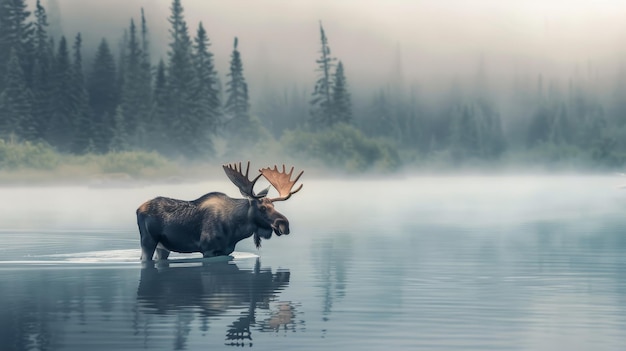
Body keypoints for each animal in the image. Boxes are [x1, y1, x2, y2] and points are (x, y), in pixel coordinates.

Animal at [136, 162, 302, 262]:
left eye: (274, 206)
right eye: (262, 208)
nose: (285, 225)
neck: (235, 231)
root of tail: (138, 209)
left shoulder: (226, 251)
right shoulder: (208, 249)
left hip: (162, 247)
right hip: (148, 240)